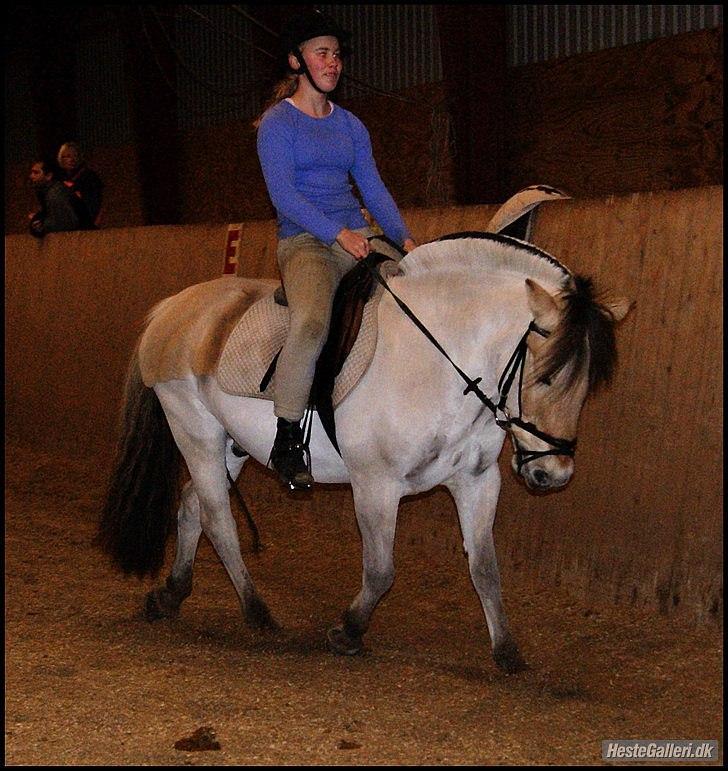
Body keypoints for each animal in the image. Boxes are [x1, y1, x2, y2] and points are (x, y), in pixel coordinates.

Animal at [98, 235, 632, 676]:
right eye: (545, 377)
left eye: (586, 385)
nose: (552, 474)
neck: (439, 363)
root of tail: (173, 308)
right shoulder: (377, 483)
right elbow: (381, 569)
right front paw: (348, 631)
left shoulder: (478, 482)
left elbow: (485, 567)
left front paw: (507, 651)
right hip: (195, 430)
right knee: (217, 518)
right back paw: (257, 612)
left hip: (231, 444)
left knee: (193, 506)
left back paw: (169, 596)